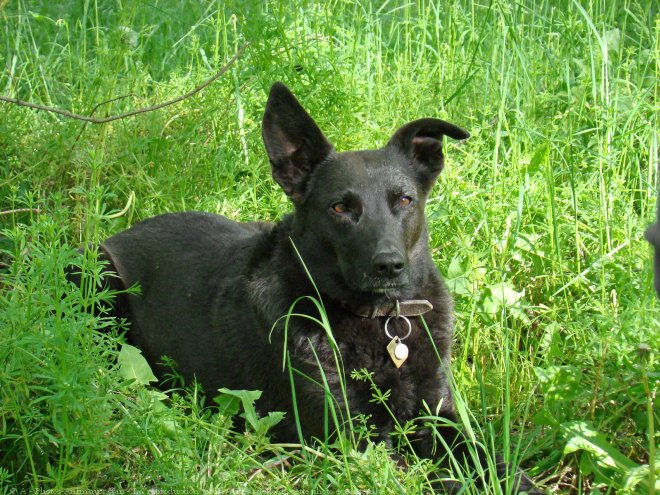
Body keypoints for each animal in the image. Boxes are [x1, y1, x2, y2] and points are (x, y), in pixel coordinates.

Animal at [80, 82, 540, 492]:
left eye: (404, 200)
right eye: (340, 208)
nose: (389, 266)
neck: (380, 322)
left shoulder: (437, 413)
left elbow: (485, 457)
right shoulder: (352, 438)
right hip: (99, 280)